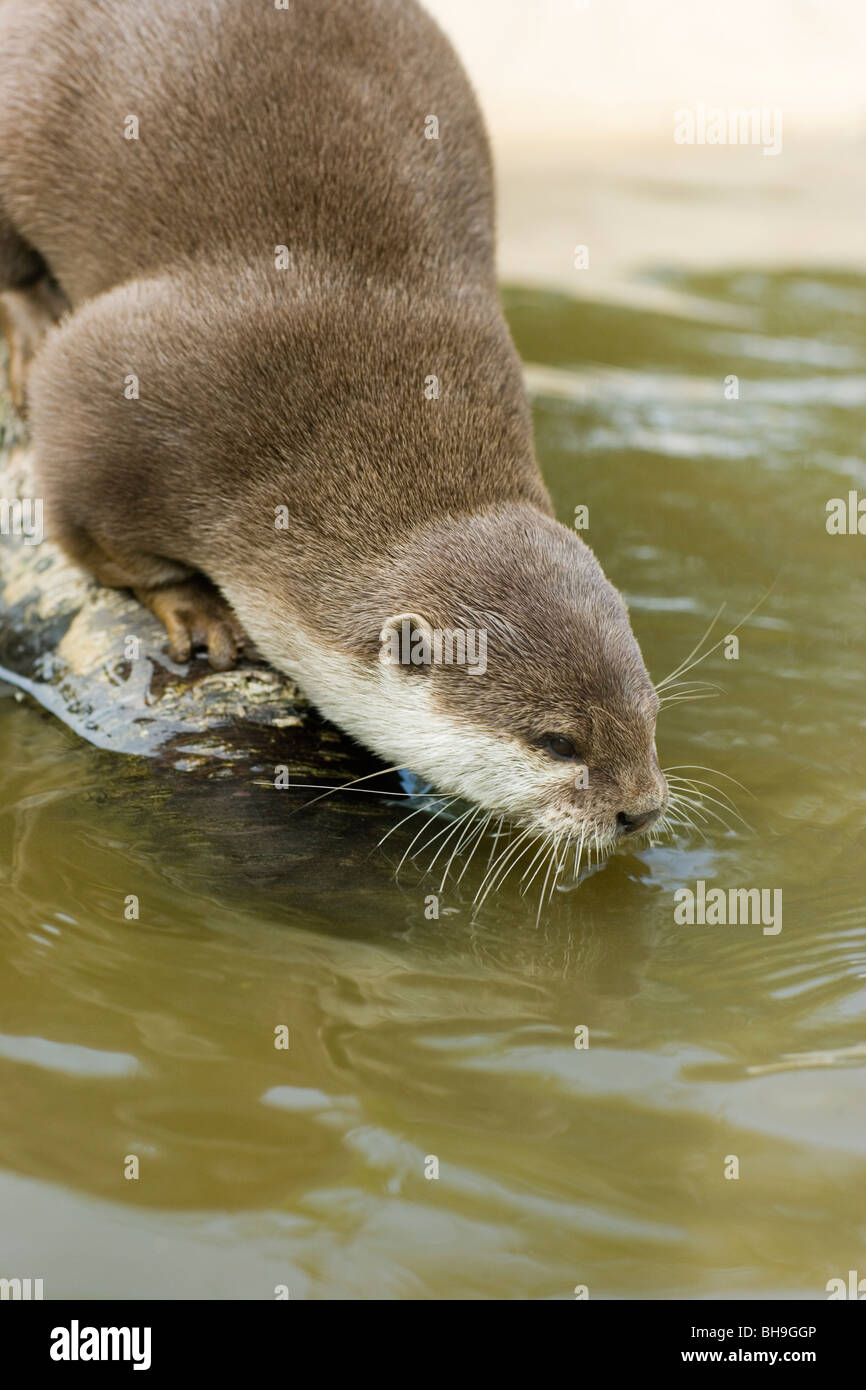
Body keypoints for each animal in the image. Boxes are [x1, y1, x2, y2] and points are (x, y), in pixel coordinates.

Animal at [0, 0, 670, 856]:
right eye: (557, 740)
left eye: (650, 712)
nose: (640, 809)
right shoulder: (127, 389)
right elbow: (92, 524)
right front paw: (194, 609)